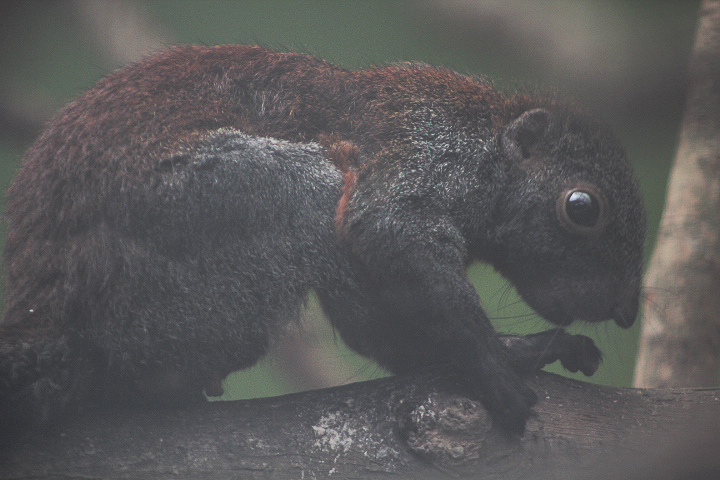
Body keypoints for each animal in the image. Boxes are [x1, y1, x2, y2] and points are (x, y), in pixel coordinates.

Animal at [0, 45, 645, 434]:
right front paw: (493, 361)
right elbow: (386, 229)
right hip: (220, 210)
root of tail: (51, 307)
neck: (484, 138)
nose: (626, 308)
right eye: (582, 208)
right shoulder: (427, 149)